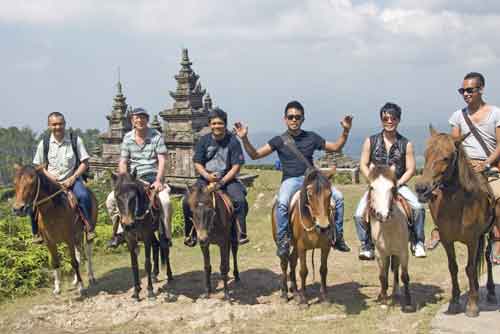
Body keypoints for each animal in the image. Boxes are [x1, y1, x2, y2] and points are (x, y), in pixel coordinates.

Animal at [11, 164, 96, 294]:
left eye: (32, 182)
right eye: (15, 182)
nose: (18, 209)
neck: (52, 211)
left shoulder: (69, 239)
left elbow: (74, 263)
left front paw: (81, 286)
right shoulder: (49, 242)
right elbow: (55, 263)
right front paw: (57, 288)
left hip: (86, 233)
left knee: (87, 253)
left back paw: (90, 277)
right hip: (78, 236)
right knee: (80, 253)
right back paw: (75, 280)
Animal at [111, 172, 174, 300]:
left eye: (133, 197)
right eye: (117, 196)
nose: (128, 224)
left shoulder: (146, 237)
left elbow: (147, 264)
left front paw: (150, 292)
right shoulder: (130, 239)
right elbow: (134, 265)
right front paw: (136, 292)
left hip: (162, 229)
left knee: (165, 248)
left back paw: (169, 276)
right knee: (156, 245)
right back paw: (155, 275)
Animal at [272, 168, 334, 304]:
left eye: (330, 194)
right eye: (309, 194)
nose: (323, 227)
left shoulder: (325, 247)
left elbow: (323, 269)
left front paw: (325, 297)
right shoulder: (302, 247)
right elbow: (303, 271)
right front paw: (304, 300)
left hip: (295, 247)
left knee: (292, 261)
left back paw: (295, 292)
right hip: (282, 243)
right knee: (284, 262)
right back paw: (285, 293)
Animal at [368, 164, 414, 314]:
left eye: (392, 188)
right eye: (372, 187)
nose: (383, 215)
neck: (388, 227)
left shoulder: (403, 252)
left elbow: (404, 276)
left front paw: (408, 302)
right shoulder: (380, 253)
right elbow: (382, 276)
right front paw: (383, 301)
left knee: (395, 270)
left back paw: (396, 291)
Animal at [414, 126, 496, 318]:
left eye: (447, 157)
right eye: (426, 154)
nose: (421, 188)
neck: (458, 205)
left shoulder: (472, 240)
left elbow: (470, 268)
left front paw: (472, 305)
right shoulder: (447, 240)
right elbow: (454, 267)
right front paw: (455, 301)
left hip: (489, 233)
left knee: (487, 258)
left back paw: (490, 292)